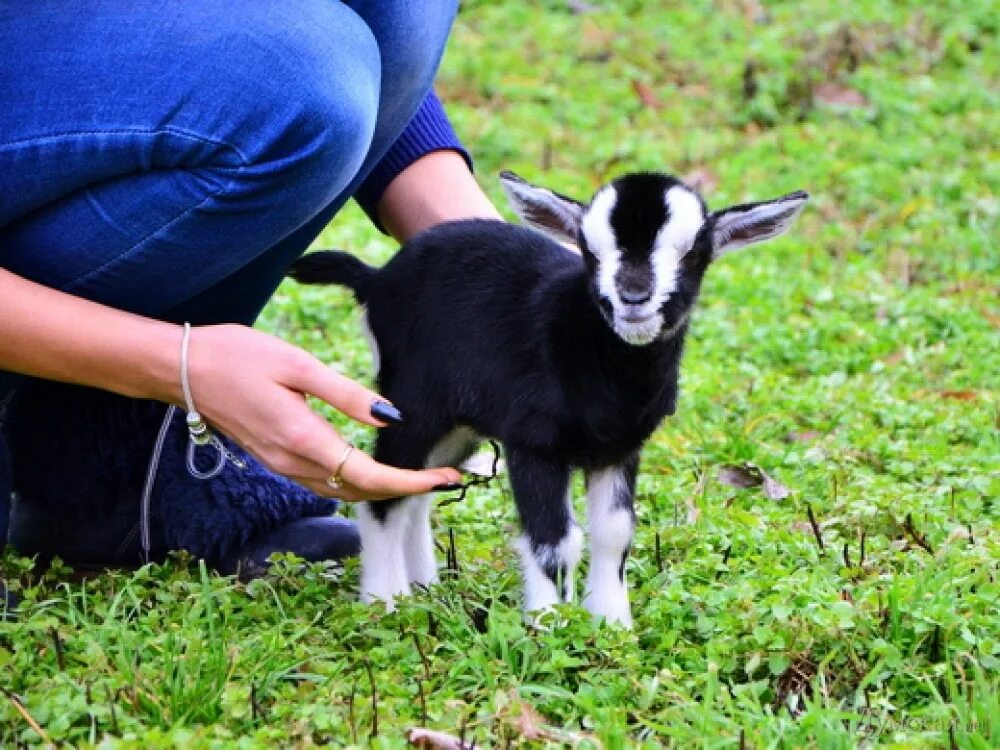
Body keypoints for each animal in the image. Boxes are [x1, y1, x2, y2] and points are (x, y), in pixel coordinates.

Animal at [288, 172, 804, 628]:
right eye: (590, 251)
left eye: (694, 252)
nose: (634, 296)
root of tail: (375, 280)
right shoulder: (533, 444)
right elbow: (554, 540)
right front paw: (548, 624)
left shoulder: (619, 450)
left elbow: (614, 533)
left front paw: (612, 623)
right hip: (409, 404)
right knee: (384, 492)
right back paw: (385, 601)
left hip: (457, 425)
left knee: (416, 489)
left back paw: (423, 588)